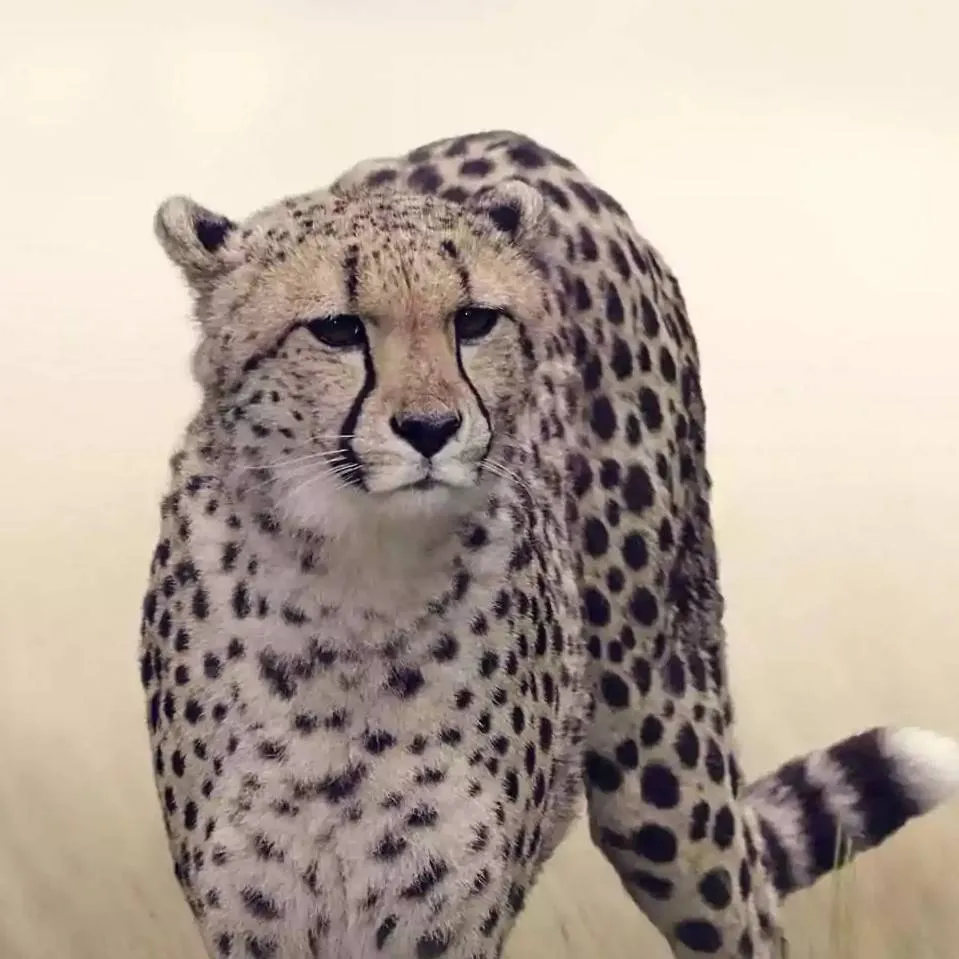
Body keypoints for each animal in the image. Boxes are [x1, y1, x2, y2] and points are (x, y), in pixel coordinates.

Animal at [140, 129, 959, 959]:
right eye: (337, 328)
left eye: (474, 320)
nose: (432, 428)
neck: (355, 583)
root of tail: (509, 140)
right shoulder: (258, 916)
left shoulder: (446, 917)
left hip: (662, 767)